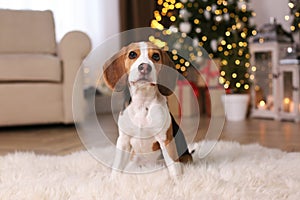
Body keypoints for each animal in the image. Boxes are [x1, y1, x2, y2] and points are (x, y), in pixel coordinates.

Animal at [103, 41, 192, 178]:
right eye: (132, 54)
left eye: (156, 56)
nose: (144, 67)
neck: (142, 102)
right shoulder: (123, 140)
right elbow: (117, 167)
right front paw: (113, 180)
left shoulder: (166, 140)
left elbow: (173, 167)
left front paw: (177, 181)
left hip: (186, 158)